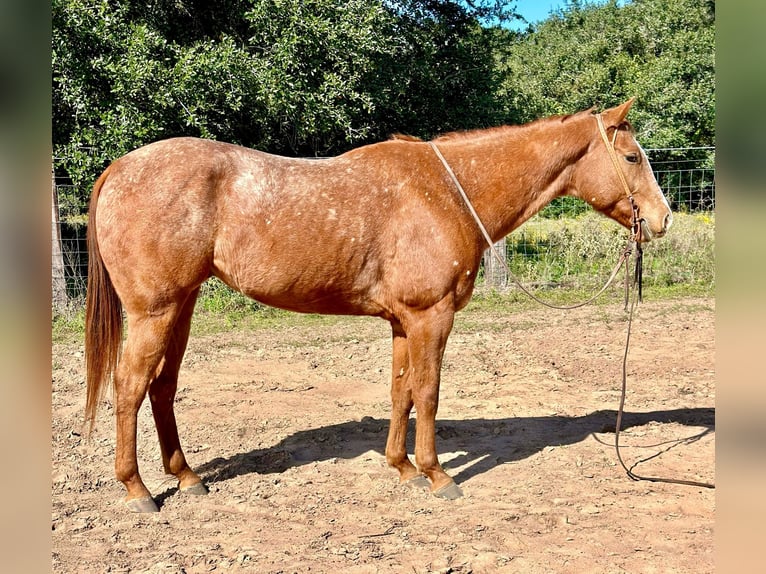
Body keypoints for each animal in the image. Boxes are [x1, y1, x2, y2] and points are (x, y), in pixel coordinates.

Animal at [84, 98, 672, 512]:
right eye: (631, 156)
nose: (662, 219)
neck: (447, 192)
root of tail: (117, 169)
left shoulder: (402, 322)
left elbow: (401, 392)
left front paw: (402, 468)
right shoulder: (431, 317)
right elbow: (428, 394)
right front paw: (437, 475)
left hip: (180, 308)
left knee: (162, 388)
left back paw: (187, 478)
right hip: (154, 312)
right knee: (130, 387)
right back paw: (138, 490)